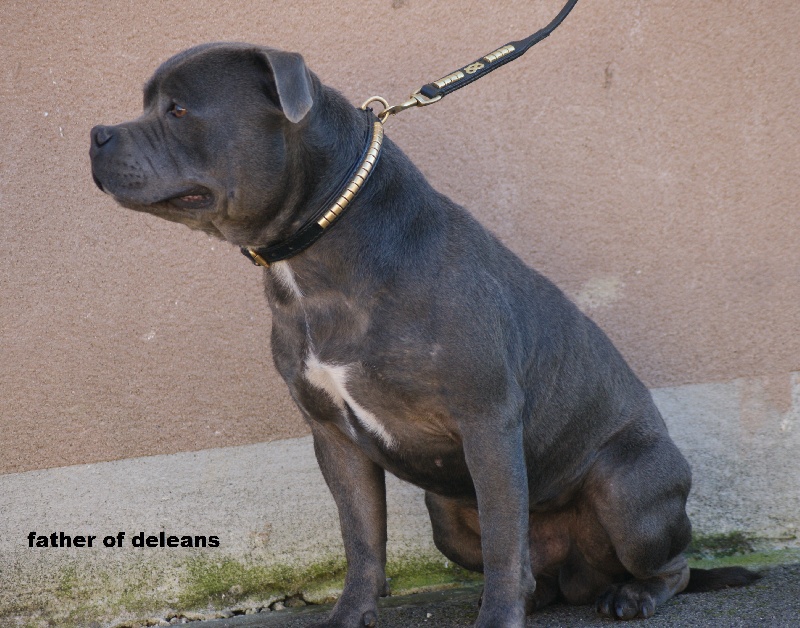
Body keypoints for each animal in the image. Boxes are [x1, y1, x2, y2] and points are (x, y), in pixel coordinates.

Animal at [90, 43, 757, 627]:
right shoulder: (335, 439)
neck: (315, 252)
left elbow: (505, 546)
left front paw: (497, 619)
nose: (96, 133)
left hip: (626, 487)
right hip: (447, 517)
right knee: (532, 570)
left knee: (667, 565)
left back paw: (634, 596)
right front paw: (350, 615)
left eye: (178, 110)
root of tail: (583, 578)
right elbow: (362, 541)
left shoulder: (487, 421)